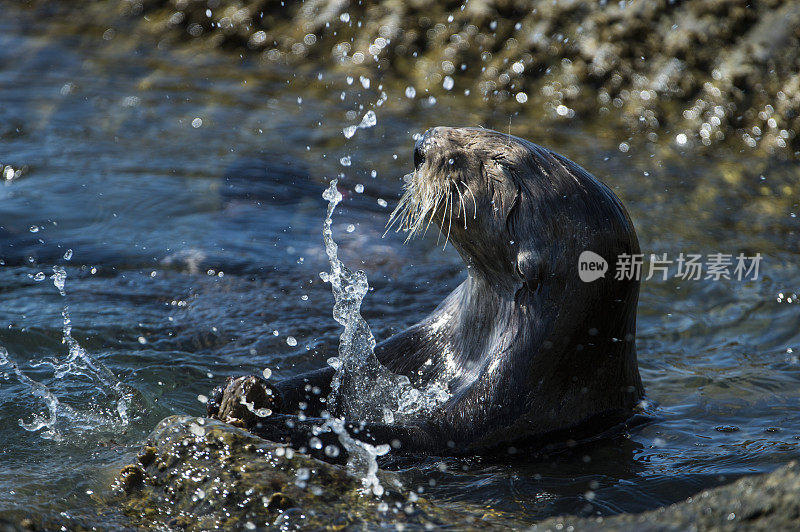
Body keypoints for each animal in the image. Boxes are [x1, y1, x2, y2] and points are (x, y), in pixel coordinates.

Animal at [206, 127, 644, 456]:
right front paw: (246, 390)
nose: (422, 146)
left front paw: (261, 419)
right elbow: (341, 374)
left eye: (499, 163)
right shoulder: (429, 335)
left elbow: (413, 436)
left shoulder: (507, 404)